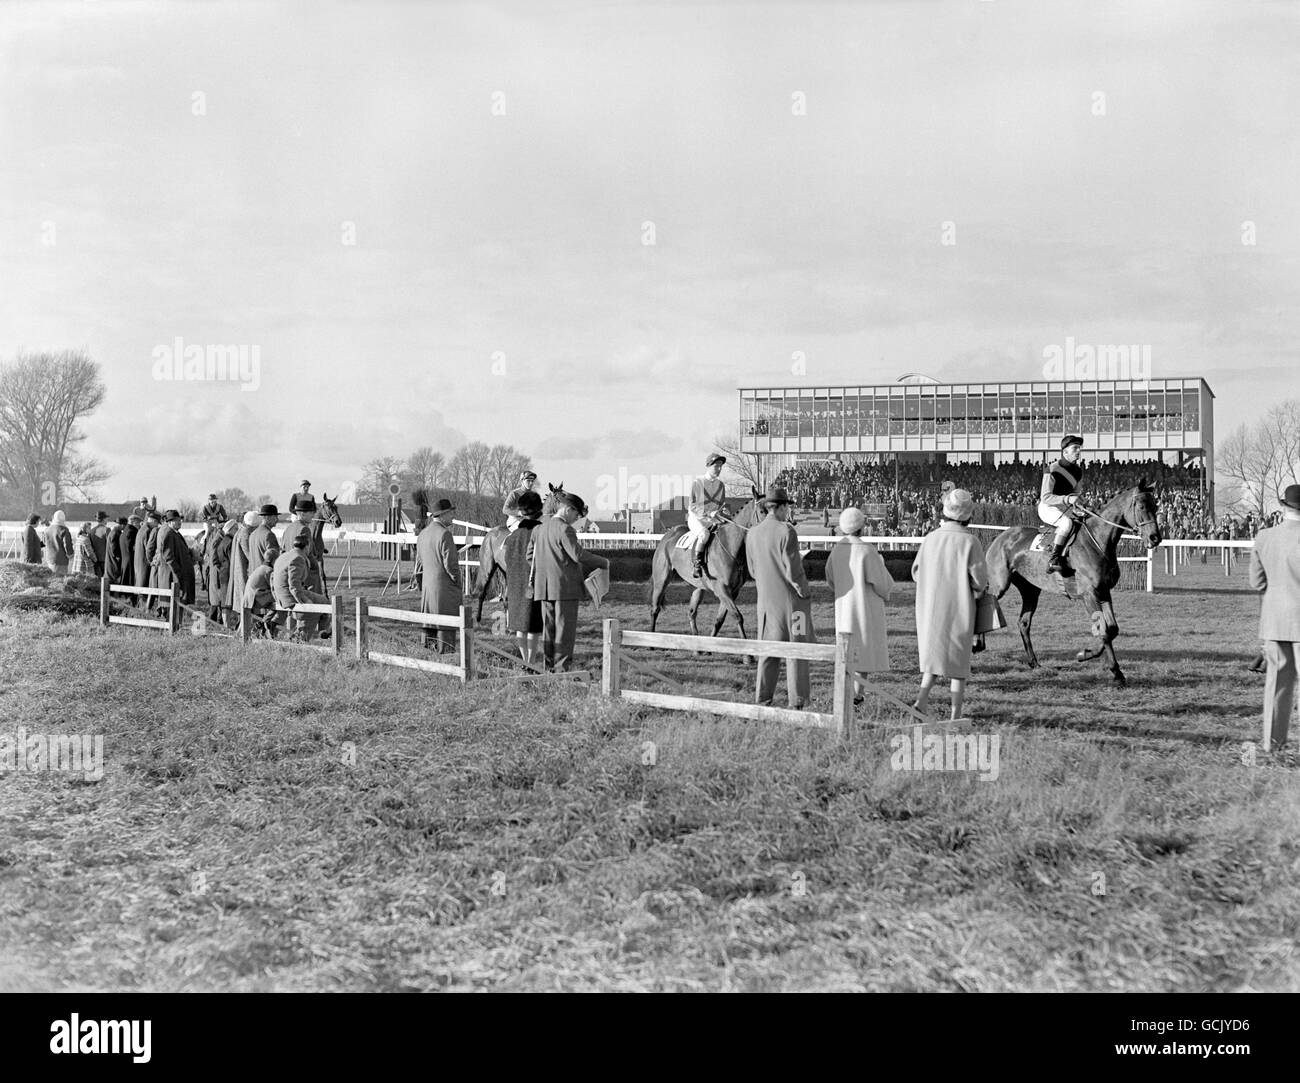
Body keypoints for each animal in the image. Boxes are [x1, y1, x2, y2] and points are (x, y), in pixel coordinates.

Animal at [647, 488, 764, 642]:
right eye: (762, 510)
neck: (731, 546)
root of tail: (667, 535)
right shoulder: (722, 589)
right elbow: (737, 616)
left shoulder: (733, 591)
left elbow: (719, 620)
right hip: (662, 580)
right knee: (655, 609)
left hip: (698, 586)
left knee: (691, 612)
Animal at [977, 483, 1164, 686]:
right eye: (1142, 507)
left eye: (1155, 506)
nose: (1155, 538)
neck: (1098, 541)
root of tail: (1000, 537)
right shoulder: (1089, 594)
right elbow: (1104, 631)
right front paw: (1093, 658)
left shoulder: (1104, 592)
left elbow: (1112, 629)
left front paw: (1111, 668)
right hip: (1000, 584)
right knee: (984, 602)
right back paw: (977, 645)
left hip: (1030, 590)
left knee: (1024, 623)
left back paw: (1033, 662)